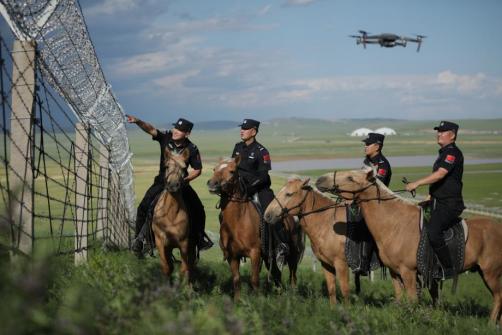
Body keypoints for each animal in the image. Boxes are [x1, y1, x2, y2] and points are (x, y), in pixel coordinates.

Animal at [152, 150, 195, 284]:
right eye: (166, 166)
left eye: (184, 168)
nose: (173, 185)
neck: (171, 213)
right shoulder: (160, 241)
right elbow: (166, 267)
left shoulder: (184, 243)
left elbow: (184, 268)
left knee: (190, 267)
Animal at [206, 158, 304, 302]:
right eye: (214, 169)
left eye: (232, 171)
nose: (212, 184)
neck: (238, 220)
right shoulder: (233, 256)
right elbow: (236, 280)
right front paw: (238, 301)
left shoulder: (255, 253)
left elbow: (254, 279)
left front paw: (257, 301)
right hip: (270, 256)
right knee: (276, 274)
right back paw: (279, 294)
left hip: (292, 253)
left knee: (293, 274)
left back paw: (293, 295)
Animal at [262, 177, 352, 306]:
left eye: (289, 194)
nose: (267, 214)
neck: (329, 223)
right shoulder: (327, 264)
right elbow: (331, 290)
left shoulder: (341, 265)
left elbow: (345, 292)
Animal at [316, 169, 502, 324]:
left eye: (350, 178)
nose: (320, 179)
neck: (396, 223)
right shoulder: (394, 272)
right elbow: (399, 297)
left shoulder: (409, 272)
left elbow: (412, 300)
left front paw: (414, 319)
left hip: (491, 273)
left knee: (498, 297)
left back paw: (491, 324)